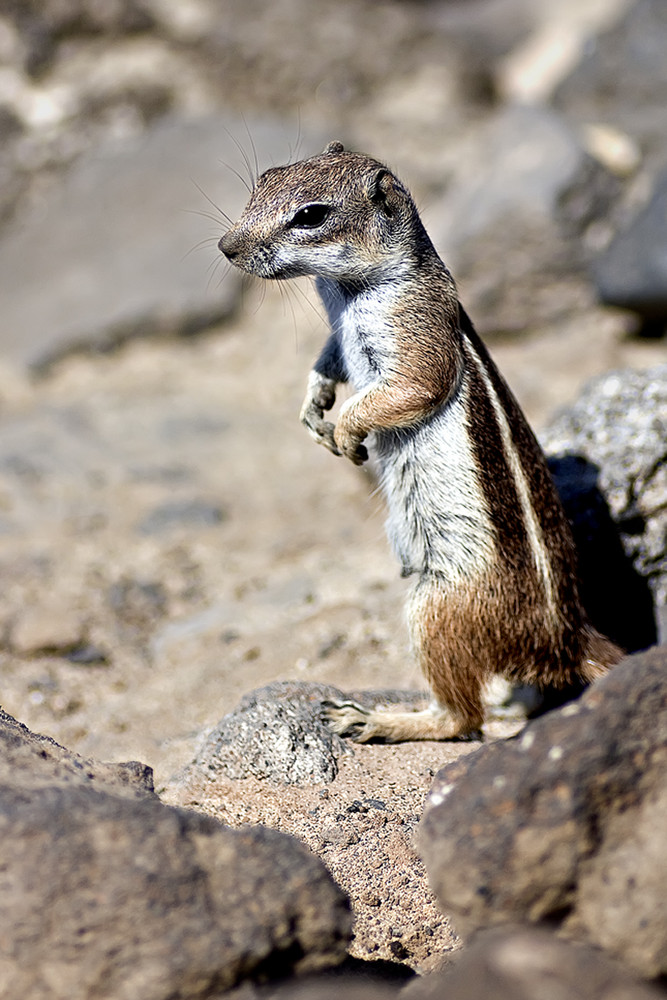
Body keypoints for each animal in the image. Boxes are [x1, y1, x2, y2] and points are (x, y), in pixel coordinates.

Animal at [217, 145, 624, 748]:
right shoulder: (337, 335)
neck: (347, 290)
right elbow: (328, 363)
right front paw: (314, 409)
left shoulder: (415, 330)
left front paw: (347, 432)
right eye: (265, 179)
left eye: (311, 215)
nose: (227, 247)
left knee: (463, 720)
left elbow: (411, 387)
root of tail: (567, 641)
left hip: (434, 610)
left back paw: (377, 718)